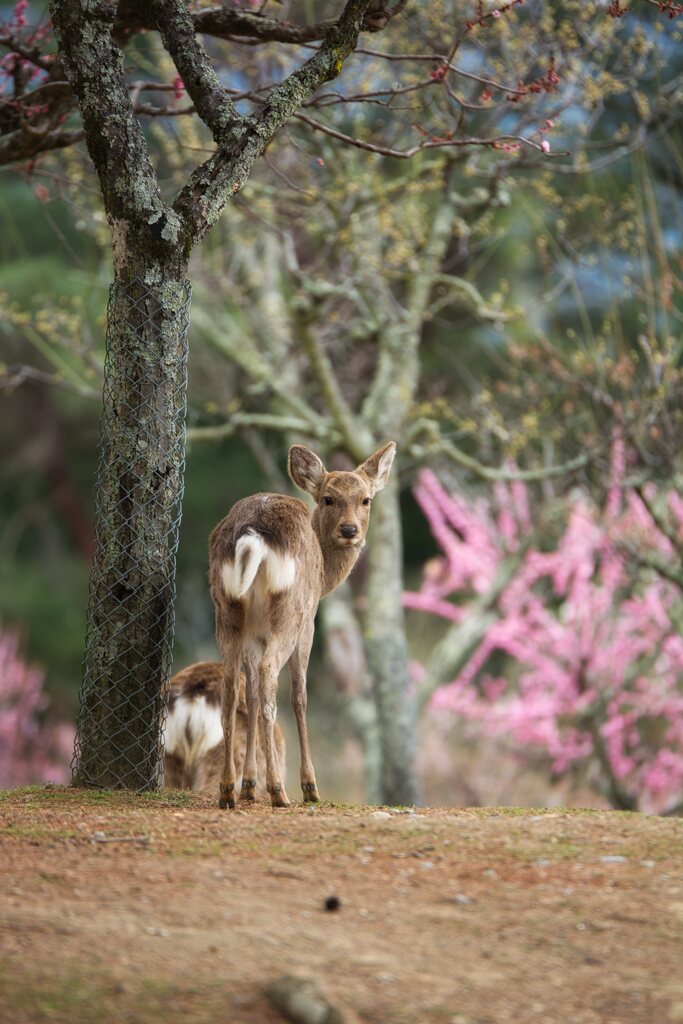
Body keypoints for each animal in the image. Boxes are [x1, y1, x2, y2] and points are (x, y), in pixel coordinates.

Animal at [208, 440, 395, 806]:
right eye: (328, 498)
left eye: (365, 499)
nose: (349, 530)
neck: (325, 579)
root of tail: (252, 537)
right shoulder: (308, 622)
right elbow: (299, 695)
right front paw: (309, 785)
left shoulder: (254, 635)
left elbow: (250, 694)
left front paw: (249, 784)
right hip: (289, 612)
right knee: (271, 679)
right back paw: (281, 791)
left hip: (228, 613)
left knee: (231, 689)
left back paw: (228, 791)